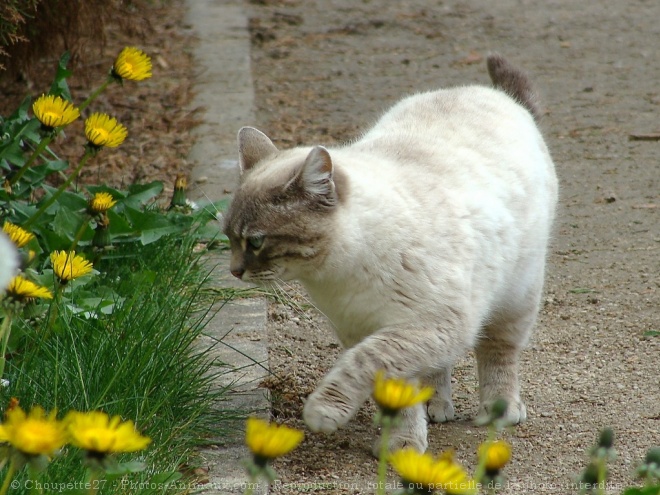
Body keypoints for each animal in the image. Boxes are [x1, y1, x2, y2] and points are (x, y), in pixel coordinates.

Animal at [222, 54, 556, 454]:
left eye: (255, 242)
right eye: (228, 238)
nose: (234, 271)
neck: (339, 277)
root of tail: (499, 96)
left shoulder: (421, 326)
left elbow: (364, 364)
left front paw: (328, 413)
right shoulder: (366, 330)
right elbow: (395, 388)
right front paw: (404, 442)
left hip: (514, 297)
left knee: (498, 353)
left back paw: (499, 409)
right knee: (438, 368)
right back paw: (437, 405)